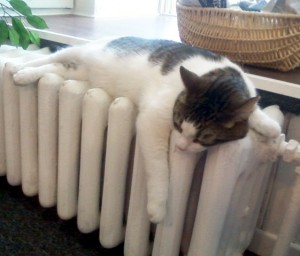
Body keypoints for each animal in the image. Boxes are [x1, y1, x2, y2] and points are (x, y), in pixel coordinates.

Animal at [11, 37, 282, 223]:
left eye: (205, 137)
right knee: (52, 57)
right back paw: (20, 68)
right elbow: (158, 166)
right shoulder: (151, 119)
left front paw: (270, 126)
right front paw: (158, 207)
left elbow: (254, 109)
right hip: (84, 50)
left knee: (60, 69)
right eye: (178, 122)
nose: (181, 146)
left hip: (81, 75)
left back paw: (28, 72)